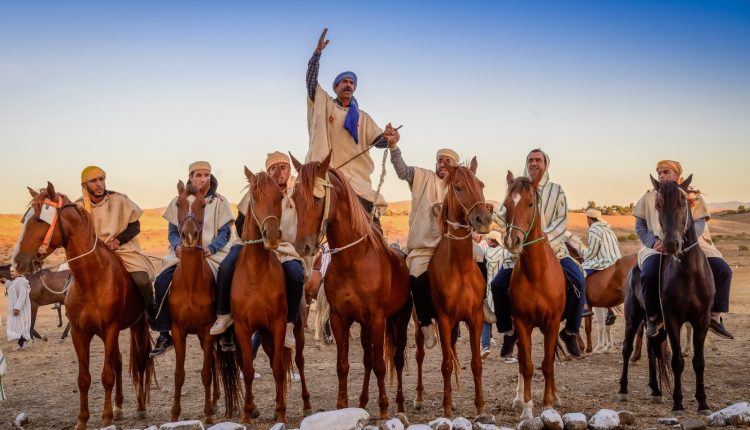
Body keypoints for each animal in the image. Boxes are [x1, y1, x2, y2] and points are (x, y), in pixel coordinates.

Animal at [13, 183, 154, 430]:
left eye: (39, 220)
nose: (17, 261)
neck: (93, 278)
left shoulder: (110, 329)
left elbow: (107, 375)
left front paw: (106, 417)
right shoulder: (80, 333)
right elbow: (84, 378)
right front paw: (82, 419)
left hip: (136, 326)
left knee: (138, 362)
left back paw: (139, 407)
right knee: (118, 362)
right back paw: (119, 406)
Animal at [290, 153, 413, 420]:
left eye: (317, 197)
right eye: (293, 198)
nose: (302, 247)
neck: (353, 260)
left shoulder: (378, 318)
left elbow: (380, 364)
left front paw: (384, 408)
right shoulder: (340, 318)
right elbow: (344, 364)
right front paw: (342, 405)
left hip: (399, 319)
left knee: (397, 360)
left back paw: (399, 406)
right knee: (367, 359)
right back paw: (363, 401)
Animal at [426, 157, 492, 418]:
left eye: (481, 184)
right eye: (458, 187)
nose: (484, 220)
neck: (460, 270)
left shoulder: (474, 318)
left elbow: (476, 363)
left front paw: (481, 407)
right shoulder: (444, 320)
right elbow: (445, 364)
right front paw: (446, 410)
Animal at [503, 171, 566, 421]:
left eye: (530, 204)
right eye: (506, 205)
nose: (512, 242)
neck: (537, 274)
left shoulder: (552, 323)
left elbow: (547, 364)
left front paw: (548, 405)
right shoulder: (522, 323)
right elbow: (528, 365)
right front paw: (528, 408)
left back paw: (555, 397)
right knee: (522, 360)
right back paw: (519, 399)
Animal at [618, 175, 714, 415]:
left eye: (683, 201)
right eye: (658, 204)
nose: (671, 244)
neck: (689, 274)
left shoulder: (702, 320)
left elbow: (699, 362)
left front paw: (703, 403)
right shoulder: (673, 319)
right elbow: (677, 361)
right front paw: (678, 403)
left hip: (656, 324)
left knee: (653, 348)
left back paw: (655, 390)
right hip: (633, 318)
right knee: (627, 348)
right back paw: (623, 389)